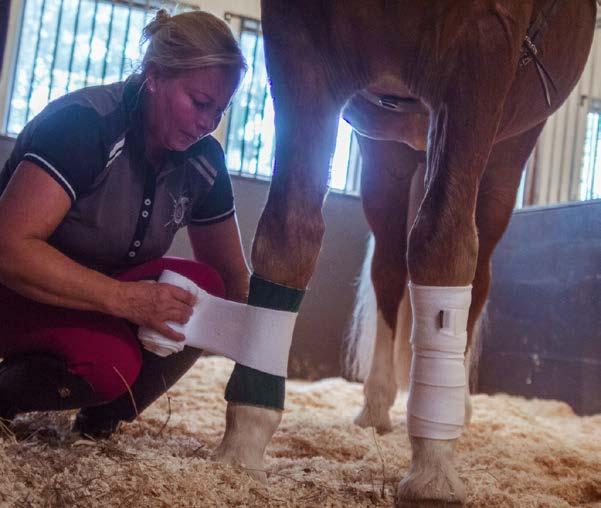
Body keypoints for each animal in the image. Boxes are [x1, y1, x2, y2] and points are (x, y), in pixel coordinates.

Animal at [214, 1, 596, 506]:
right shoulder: (297, 42)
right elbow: (288, 232)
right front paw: (243, 442)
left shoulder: (483, 45)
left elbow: (443, 243)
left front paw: (433, 466)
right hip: (387, 151)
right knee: (391, 268)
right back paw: (377, 406)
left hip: (505, 151)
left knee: (476, 272)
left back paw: (457, 407)